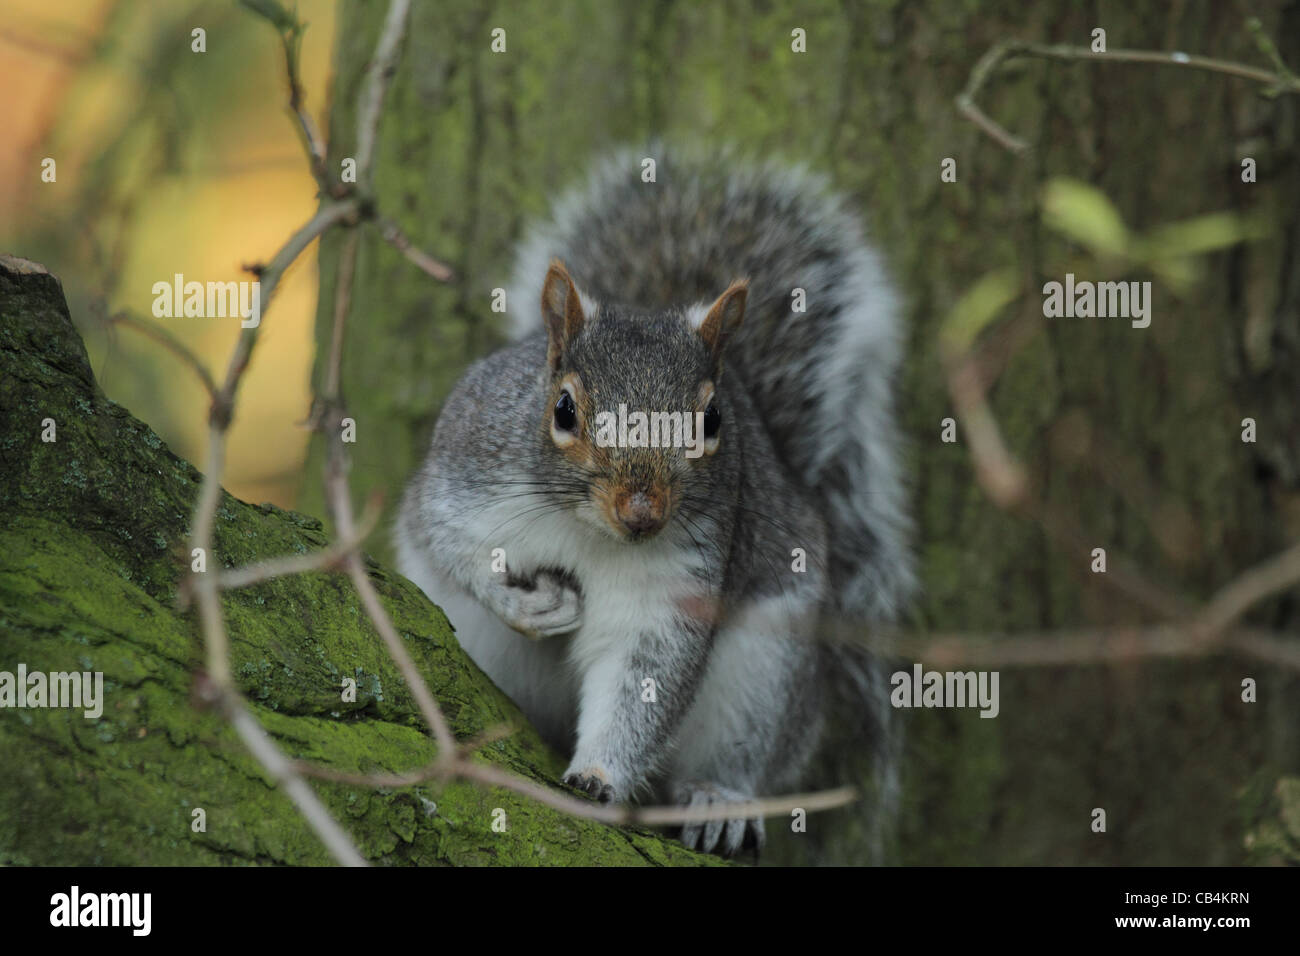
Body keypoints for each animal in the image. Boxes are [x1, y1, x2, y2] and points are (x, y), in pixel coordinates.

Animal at [395, 145, 915, 858]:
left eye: (712, 421)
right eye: (563, 408)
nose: (641, 513)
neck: (589, 532)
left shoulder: (677, 584)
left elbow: (642, 678)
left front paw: (598, 777)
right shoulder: (468, 478)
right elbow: (456, 547)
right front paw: (527, 604)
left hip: (767, 671)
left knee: (741, 753)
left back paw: (719, 800)